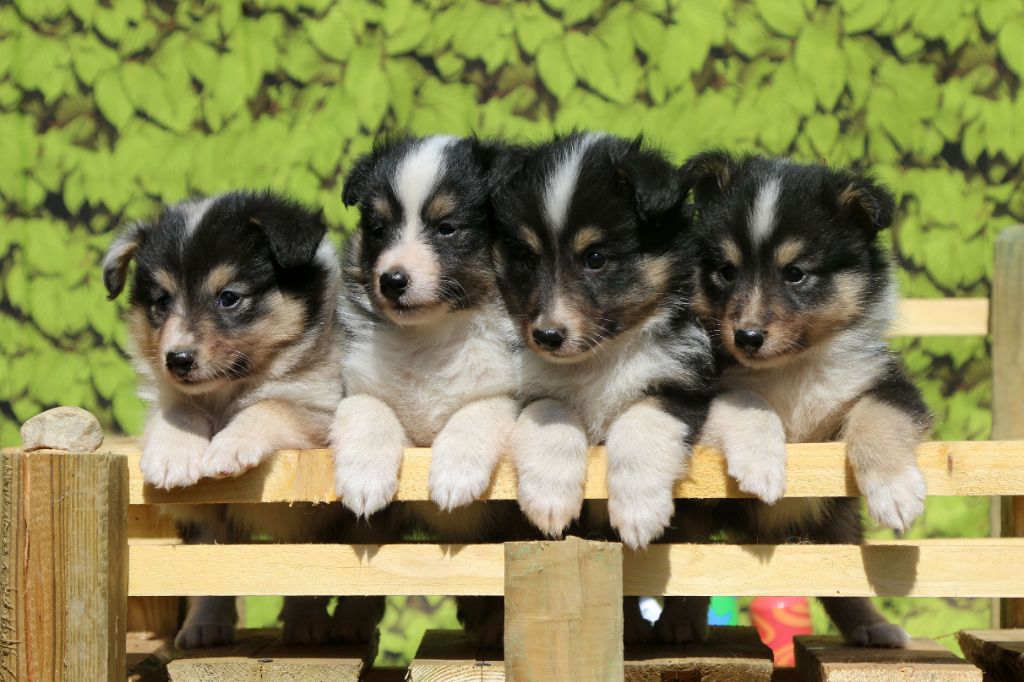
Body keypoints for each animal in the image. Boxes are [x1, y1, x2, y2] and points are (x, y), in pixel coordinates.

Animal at [103, 192, 385, 647]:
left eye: (229, 297)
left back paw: (333, 625)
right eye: (161, 302)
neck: (227, 392)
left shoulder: (319, 407)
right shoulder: (202, 506)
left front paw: (228, 449)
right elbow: (179, 411)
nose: (177, 360)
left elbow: (268, 405)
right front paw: (172, 457)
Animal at [329, 133, 520, 643]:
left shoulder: (515, 390)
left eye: (447, 227)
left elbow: (478, 410)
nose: (392, 280)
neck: (431, 336)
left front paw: (454, 477)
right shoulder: (354, 383)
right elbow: (370, 411)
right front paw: (364, 479)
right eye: (378, 228)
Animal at [487, 130, 712, 548]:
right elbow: (552, 413)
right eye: (528, 258)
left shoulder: (683, 380)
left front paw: (639, 514)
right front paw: (550, 502)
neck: (600, 358)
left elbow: (642, 423)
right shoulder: (531, 386)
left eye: (595, 258)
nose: (546, 336)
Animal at [675, 151, 933, 647]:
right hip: (695, 516)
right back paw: (679, 626)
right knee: (693, 569)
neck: (790, 368)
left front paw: (895, 493)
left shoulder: (888, 383)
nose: (747, 337)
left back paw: (873, 626)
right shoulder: (696, 389)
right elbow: (746, 401)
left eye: (795, 274)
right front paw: (762, 465)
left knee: (839, 581)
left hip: (836, 522)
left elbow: (878, 417)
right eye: (726, 271)